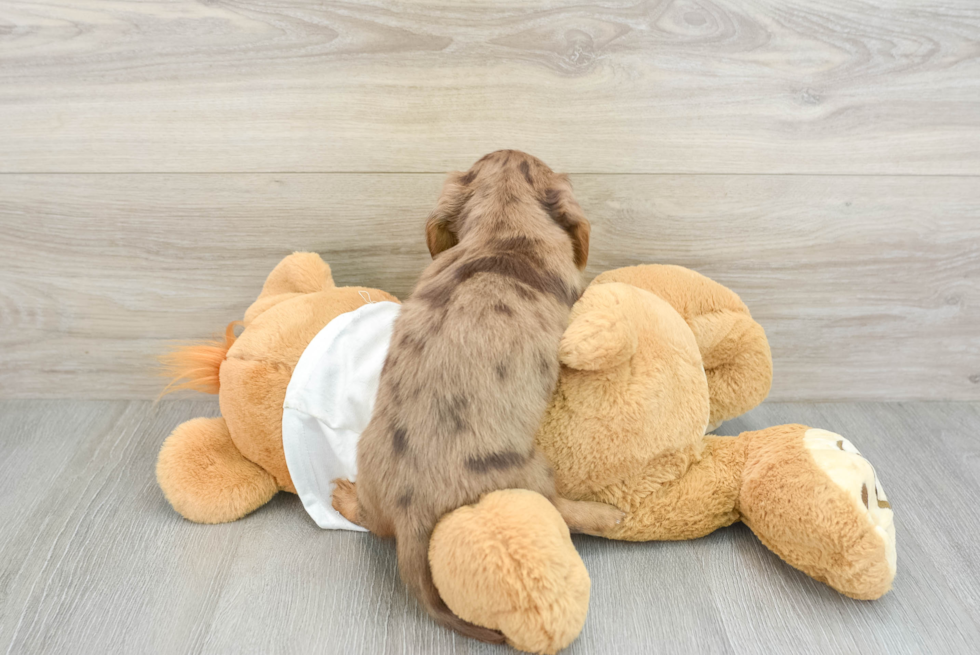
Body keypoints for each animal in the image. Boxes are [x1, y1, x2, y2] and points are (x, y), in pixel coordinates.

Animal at [334, 151, 616, 644]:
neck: (504, 229)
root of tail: (411, 512)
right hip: (533, 471)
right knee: (562, 510)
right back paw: (608, 515)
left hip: (366, 461)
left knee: (371, 521)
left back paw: (345, 498)